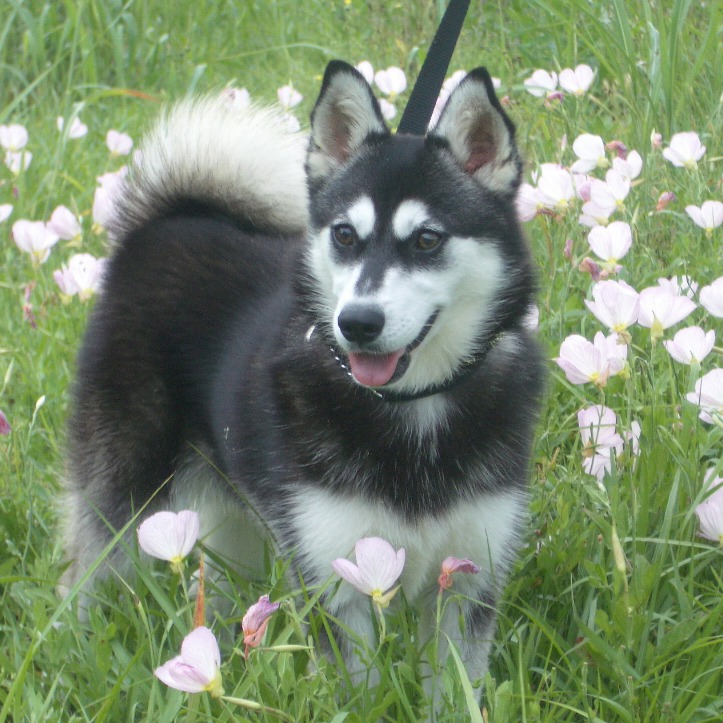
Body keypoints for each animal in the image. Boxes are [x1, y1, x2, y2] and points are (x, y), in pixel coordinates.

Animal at [60, 62, 544, 708]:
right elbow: (355, 692)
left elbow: (456, 691)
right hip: (124, 490)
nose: (357, 322)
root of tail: (170, 219)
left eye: (426, 239)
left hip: (233, 517)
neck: (411, 410)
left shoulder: (469, 578)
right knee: (87, 572)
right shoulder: (333, 576)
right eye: (344, 234)